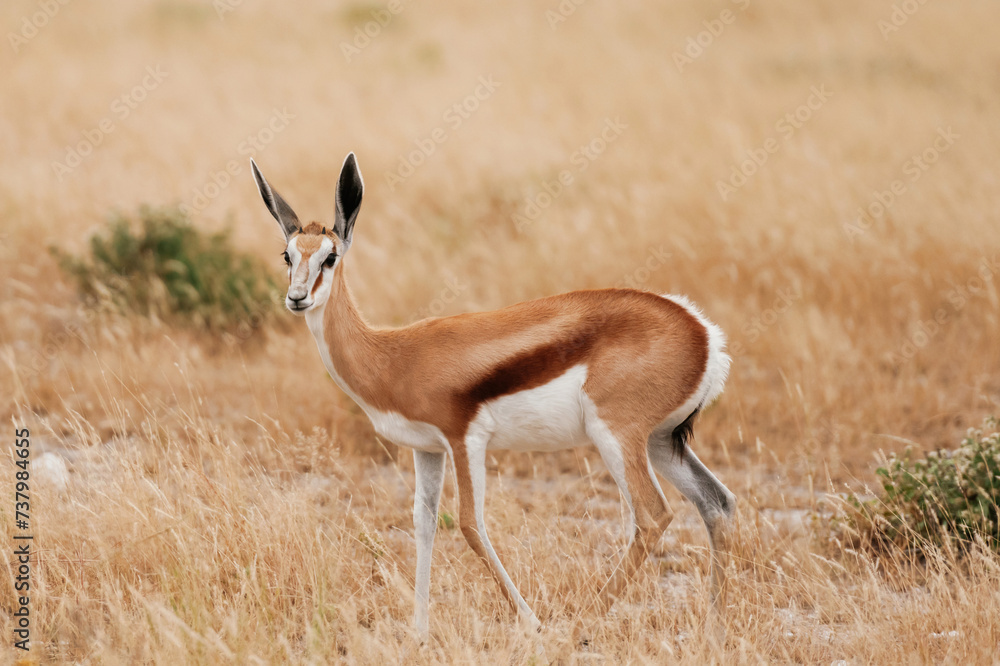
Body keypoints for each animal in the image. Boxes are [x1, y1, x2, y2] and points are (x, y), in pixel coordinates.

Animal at [250, 150, 736, 632]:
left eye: (330, 257)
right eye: (288, 255)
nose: (297, 298)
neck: (395, 355)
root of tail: (700, 330)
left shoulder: (465, 440)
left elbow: (469, 524)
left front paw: (532, 623)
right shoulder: (427, 448)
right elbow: (424, 523)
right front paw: (419, 632)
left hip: (616, 436)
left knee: (653, 515)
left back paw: (580, 624)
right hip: (660, 441)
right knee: (717, 502)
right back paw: (714, 627)